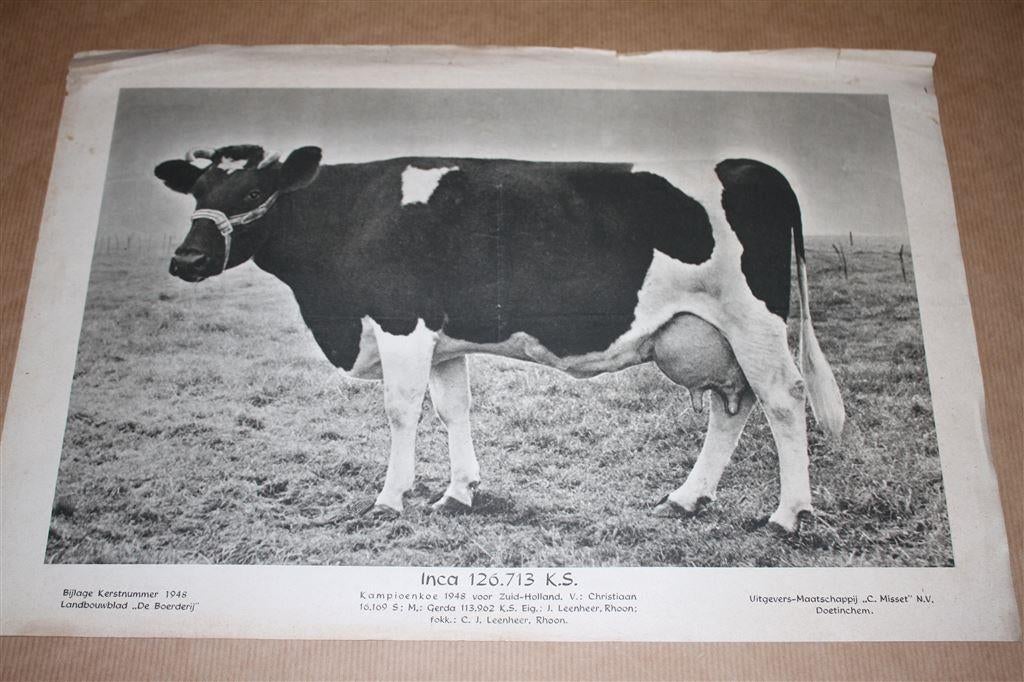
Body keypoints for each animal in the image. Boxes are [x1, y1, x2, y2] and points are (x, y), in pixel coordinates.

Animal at [155, 144, 844, 533]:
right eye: (197, 191)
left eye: (252, 191)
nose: (186, 259)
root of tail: (746, 165)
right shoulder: (441, 337)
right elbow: (452, 408)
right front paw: (457, 494)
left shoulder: (401, 320)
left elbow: (400, 411)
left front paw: (390, 500)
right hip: (713, 334)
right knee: (732, 404)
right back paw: (685, 499)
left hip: (753, 320)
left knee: (783, 399)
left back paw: (789, 515)